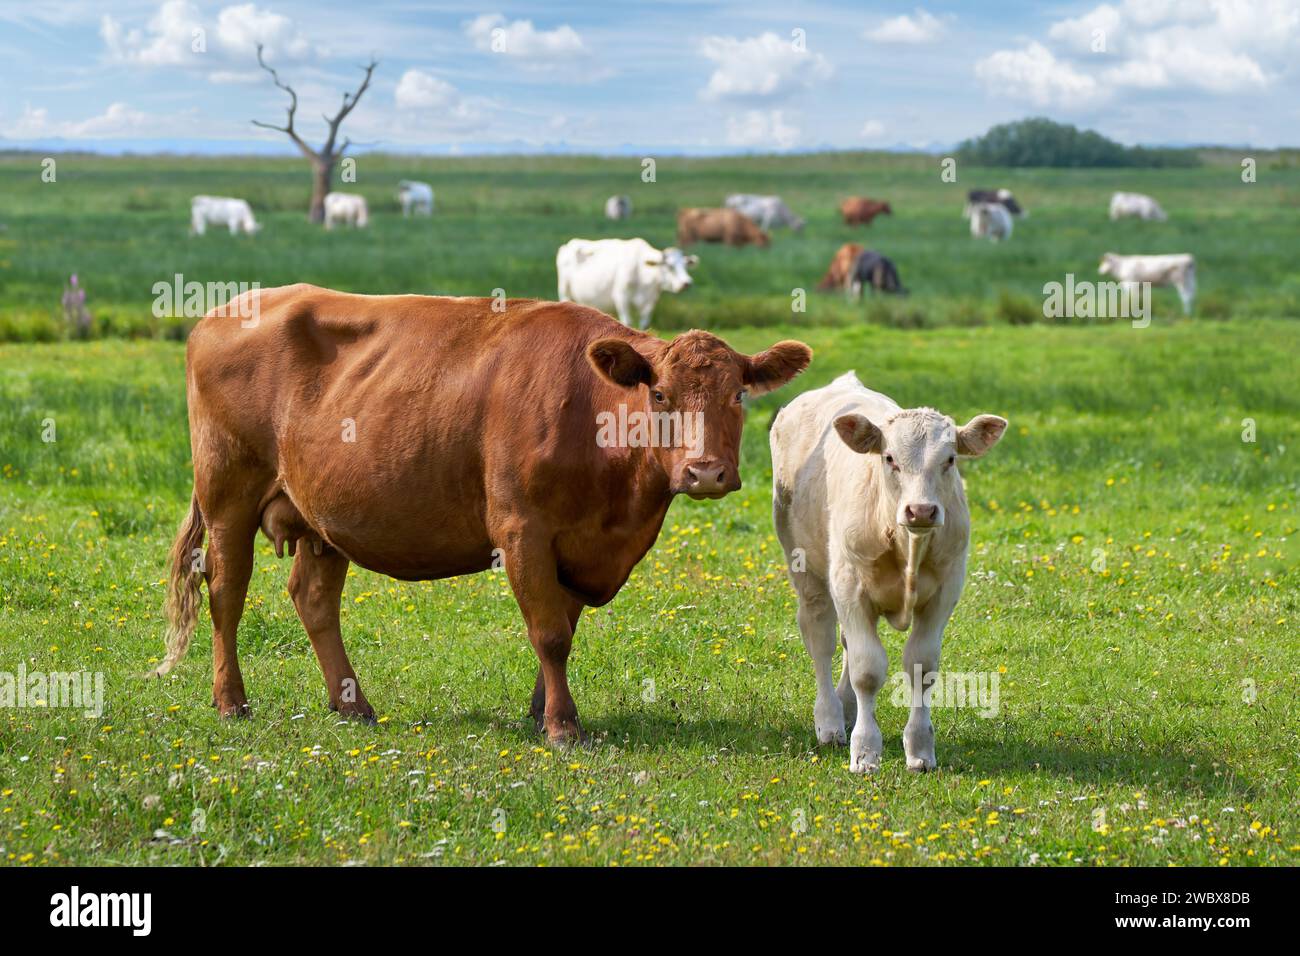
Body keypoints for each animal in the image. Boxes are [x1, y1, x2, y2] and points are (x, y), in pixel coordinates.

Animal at [152, 284, 812, 747]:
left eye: (737, 394)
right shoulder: (522, 529)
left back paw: (352, 705)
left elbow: (563, 628)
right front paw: (563, 727)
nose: (705, 472)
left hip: (321, 516)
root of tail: (228, 309)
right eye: (659, 395)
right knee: (227, 592)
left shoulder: (579, 544)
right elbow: (549, 633)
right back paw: (231, 702)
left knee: (313, 598)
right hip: (227, 496)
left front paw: (540, 711)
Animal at [771, 371, 1006, 772]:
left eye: (950, 459)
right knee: (821, 640)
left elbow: (920, 666)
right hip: (808, 572)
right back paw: (830, 721)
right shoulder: (849, 587)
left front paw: (920, 749)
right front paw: (865, 751)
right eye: (889, 458)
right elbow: (867, 670)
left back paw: (846, 708)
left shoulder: (944, 592)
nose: (921, 510)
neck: (906, 543)